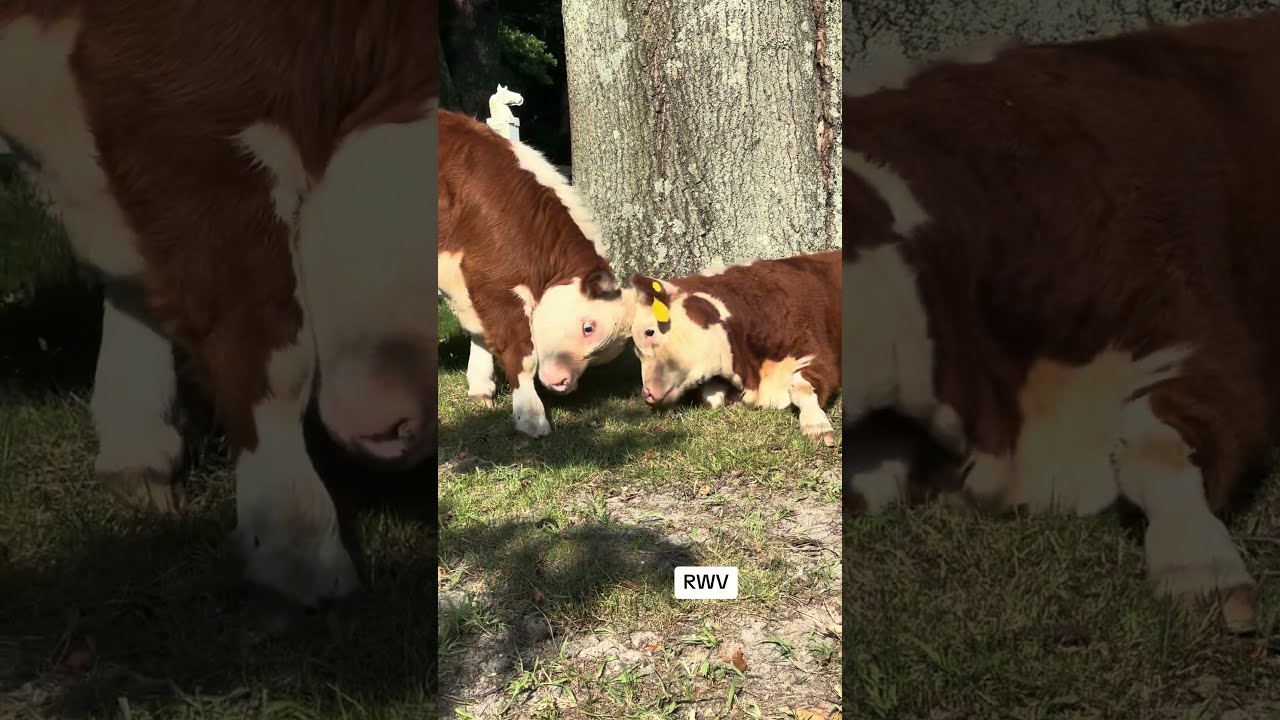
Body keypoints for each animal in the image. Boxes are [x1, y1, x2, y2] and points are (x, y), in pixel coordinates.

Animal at [0, 0, 436, 609]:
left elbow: (142, 278)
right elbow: (274, 354)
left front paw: (137, 454)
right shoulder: (184, 111)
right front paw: (296, 543)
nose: (408, 434)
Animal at [438, 109, 632, 438]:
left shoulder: (470, 280)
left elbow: (480, 331)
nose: (564, 384)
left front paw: (481, 388)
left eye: (600, 356)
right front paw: (531, 417)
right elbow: (522, 353)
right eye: (588, 327)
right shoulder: (497, 285)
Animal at [629, 250, 842, 446]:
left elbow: (802, 388)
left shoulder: (818, 353)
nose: (646, 393)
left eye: (649, 332)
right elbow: (712, 397)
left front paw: (817, 426)